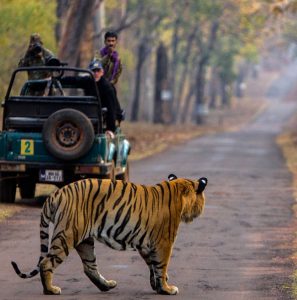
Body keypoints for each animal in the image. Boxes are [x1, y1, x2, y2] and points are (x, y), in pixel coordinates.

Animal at [11, 173, 206, 296]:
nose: (201, 210)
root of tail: (57, 193)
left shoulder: (146, 244)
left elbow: (153, 266)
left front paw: (158, 286)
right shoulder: (164, 242)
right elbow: (161, 265)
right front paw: (167, 289)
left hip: (85, 241)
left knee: (89, 267)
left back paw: (107, 286)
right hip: (67, 235)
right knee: (46, 262)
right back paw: (50, 290)